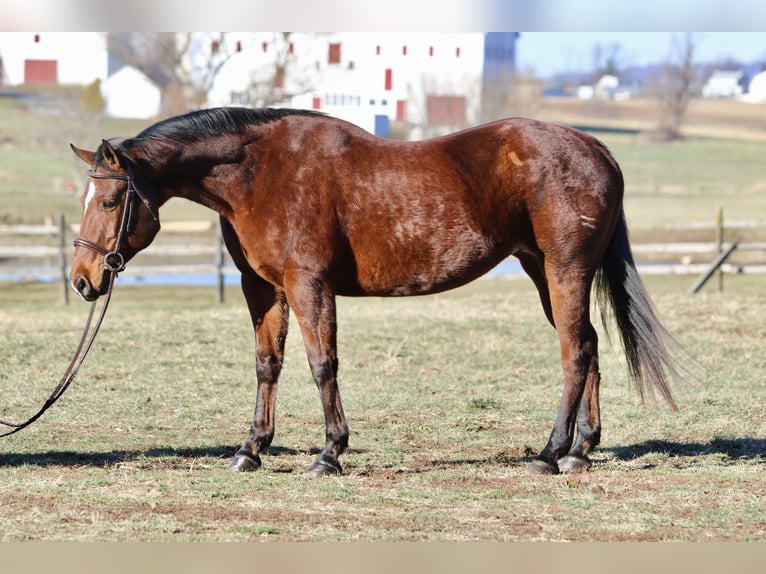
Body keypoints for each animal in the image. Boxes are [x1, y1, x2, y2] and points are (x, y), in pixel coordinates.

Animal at [67, 108, 684, 476]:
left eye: (109, 201)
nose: (83, 279)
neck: (261, 173)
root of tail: (596, 148)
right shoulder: (262, 288)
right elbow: (268, 365)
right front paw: (251, 449)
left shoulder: (308, 284)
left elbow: (322, 365)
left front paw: (329, 453)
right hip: (542, 273)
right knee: (589, 347)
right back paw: (581, 449)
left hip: (564, 271)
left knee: (575, 353)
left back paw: (550, 453)